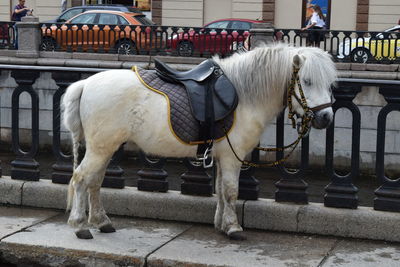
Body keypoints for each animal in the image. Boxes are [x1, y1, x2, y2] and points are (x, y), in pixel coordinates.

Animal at [63, 44, 338, 241]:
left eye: (329, 83)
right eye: (307, 81)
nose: (326, 117)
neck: (244, 94)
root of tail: (86, 83)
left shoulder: (222, 156)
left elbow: (220, 190)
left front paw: (221, 224)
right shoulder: (232, 156)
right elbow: (231, 191)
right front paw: (233, 227)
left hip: (106, 147)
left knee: (95, 181)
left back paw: (101, 222)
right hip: (100, 148)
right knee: (80, 178)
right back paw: (79, 225)